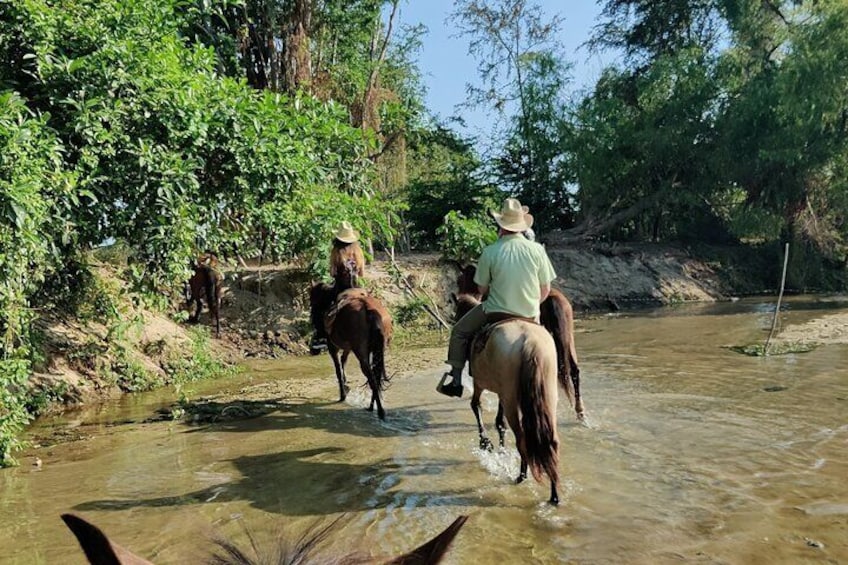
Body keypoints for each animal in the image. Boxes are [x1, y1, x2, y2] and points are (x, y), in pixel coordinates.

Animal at [470, 320, 564, 504]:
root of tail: (530, 341)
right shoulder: (500, 392)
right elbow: (499, 422)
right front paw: (499, 448)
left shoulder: (479, 383)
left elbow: (476, 406)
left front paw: (485, 442)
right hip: (548, 395)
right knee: (552, 442)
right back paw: (554, 495)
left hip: (511, 399)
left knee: (521, 439)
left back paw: (521, 477)